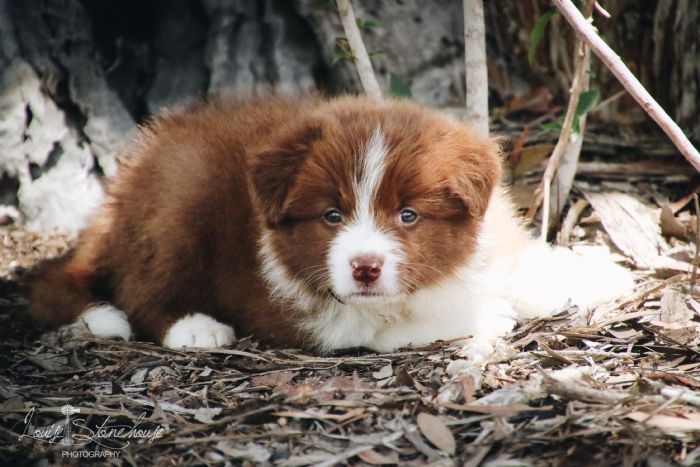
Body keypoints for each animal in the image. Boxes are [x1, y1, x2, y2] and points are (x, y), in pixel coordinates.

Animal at [26, 97, 636, 356]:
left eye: (408, 215)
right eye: (332, 216)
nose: (364, 268)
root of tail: (117, 199)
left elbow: (520, 264)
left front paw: (599, 274)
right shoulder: (299, 310)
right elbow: (396, 325)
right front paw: (488, 315)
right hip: (179, 198)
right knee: (139, 290)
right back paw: (192, 328)